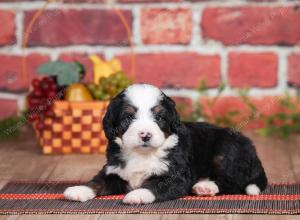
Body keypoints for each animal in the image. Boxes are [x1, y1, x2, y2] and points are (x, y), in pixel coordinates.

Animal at [63, 83, 268, 205]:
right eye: (128, 117)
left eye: (159, 117)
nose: (145, 135)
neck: (142, 154)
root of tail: (253, 150)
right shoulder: (114, 170)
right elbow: (98, 181)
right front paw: (79, 190)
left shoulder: (175, 176)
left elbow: (154, 185)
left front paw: (137, 195)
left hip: (226, 152)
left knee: (232, 182)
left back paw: (206, 187)